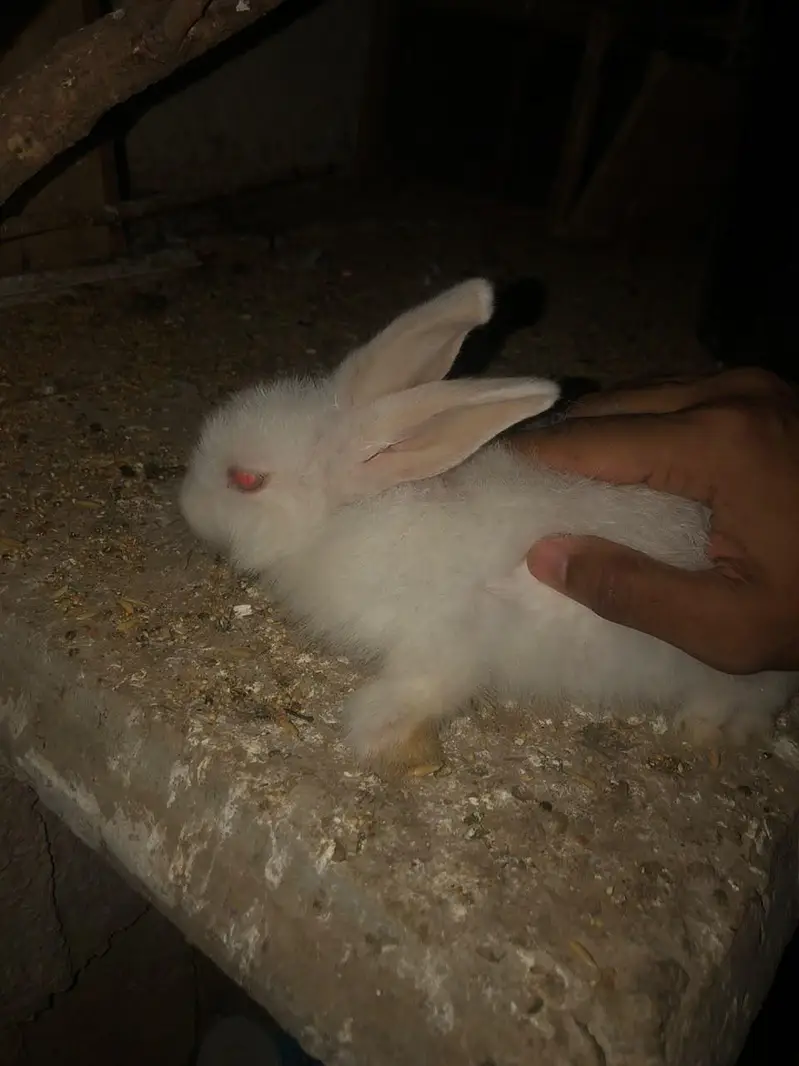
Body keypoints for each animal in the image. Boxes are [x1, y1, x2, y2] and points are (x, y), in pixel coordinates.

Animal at [179, 278, 799, 775]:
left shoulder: (450, 635)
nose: (186, 505)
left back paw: (706, 730)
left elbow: (427, 686)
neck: (347, 517)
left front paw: (376, 736)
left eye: (246, 480)